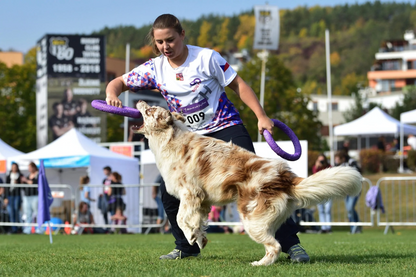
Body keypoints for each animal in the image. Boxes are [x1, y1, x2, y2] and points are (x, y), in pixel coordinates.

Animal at [136, 100, 360, 264]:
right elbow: (198, 222)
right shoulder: (202, 201)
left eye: (149, 110)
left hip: (252, 220)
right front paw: (200, 239)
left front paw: (191, 236)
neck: (170, 139)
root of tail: (285, 176)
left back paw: (259, 264)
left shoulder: (190, 194)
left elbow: (181, 219)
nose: (139, 100)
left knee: (275, 246)